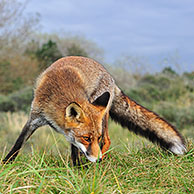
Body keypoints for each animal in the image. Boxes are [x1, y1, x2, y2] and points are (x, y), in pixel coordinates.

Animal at [3, 55, 187, 164]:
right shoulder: (34, 118)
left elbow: (75, 149)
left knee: (108, 140)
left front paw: (77, 169)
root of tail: (110, 77)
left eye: (94, 138)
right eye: (86, 138)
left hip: (103, 114)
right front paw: (6, 164)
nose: (97, 160)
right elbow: (18, 144)